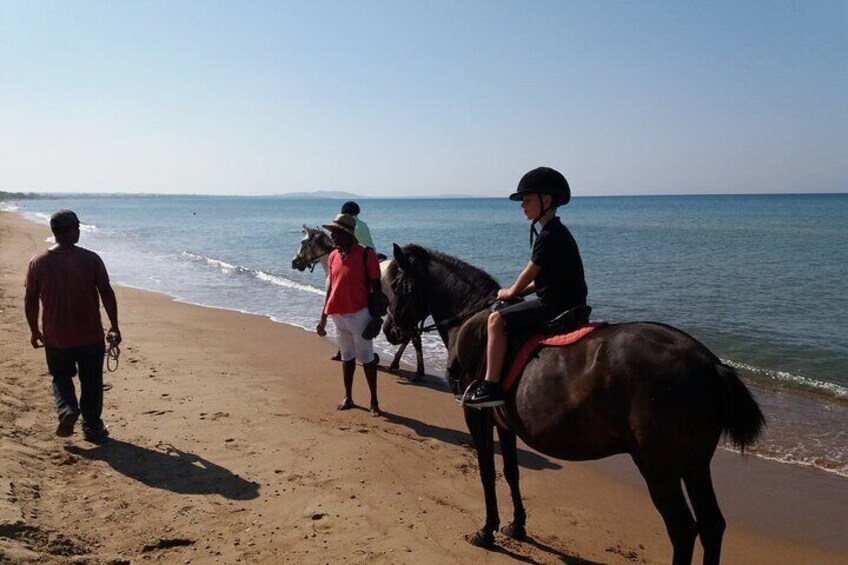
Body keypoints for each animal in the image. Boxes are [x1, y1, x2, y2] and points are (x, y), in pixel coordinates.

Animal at [380, 245, 764, 564]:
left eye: (397, 285)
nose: (389, 330)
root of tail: (709, 364)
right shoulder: (504, 421)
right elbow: (511, 472)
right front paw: (517, 526)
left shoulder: (476, 414)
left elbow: (487, 472)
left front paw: (487, 530)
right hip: (695, 463)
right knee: (712, 525)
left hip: (659, 465)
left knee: (683, 530)